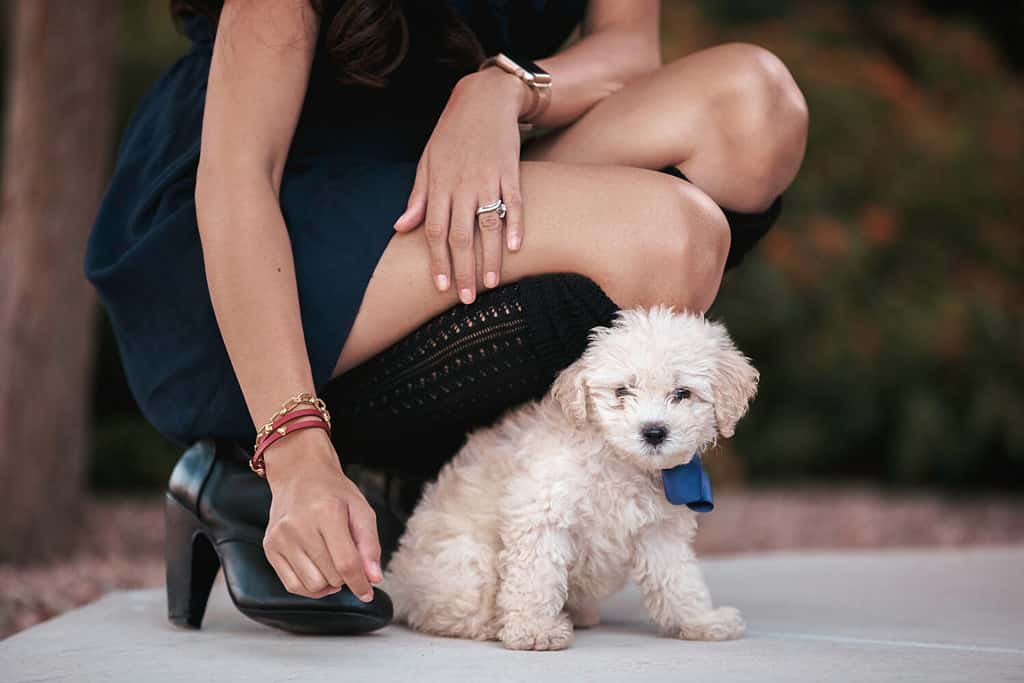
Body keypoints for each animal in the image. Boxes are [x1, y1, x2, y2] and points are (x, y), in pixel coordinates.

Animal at [385, 305, 761, 651]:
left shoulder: (659, 530)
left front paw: (700, 621)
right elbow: (537, 576)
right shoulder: (543, 512)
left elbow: (678, 577)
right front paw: (534, 630)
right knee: (449, 614)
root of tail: (398, 580)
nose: (654, 432)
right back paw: (498, 623)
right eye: (622, 392)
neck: (619, 461)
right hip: (467, 563)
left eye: (682, 393)